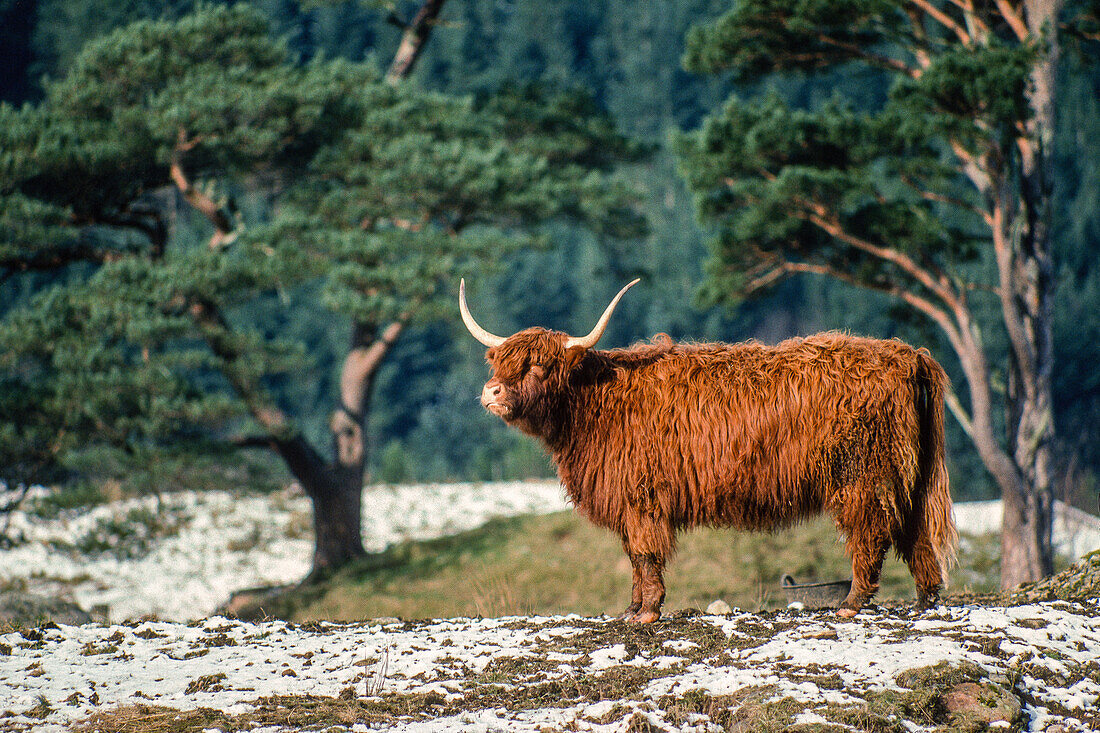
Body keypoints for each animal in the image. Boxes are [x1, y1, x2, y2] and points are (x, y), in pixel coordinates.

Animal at [455, 277, 954, 620]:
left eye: (539, 365)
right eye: (499, 361)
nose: (492, 392)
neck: (595, 401)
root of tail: (907, 354)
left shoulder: (641, 496)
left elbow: (644, 553)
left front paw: (648, 612)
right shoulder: (627, 500)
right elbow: (632, 556)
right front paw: (630, 609)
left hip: (863, 473)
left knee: (872, 533)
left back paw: (852, 602)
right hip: (906, 473)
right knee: (915, 534)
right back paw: (926, 598)